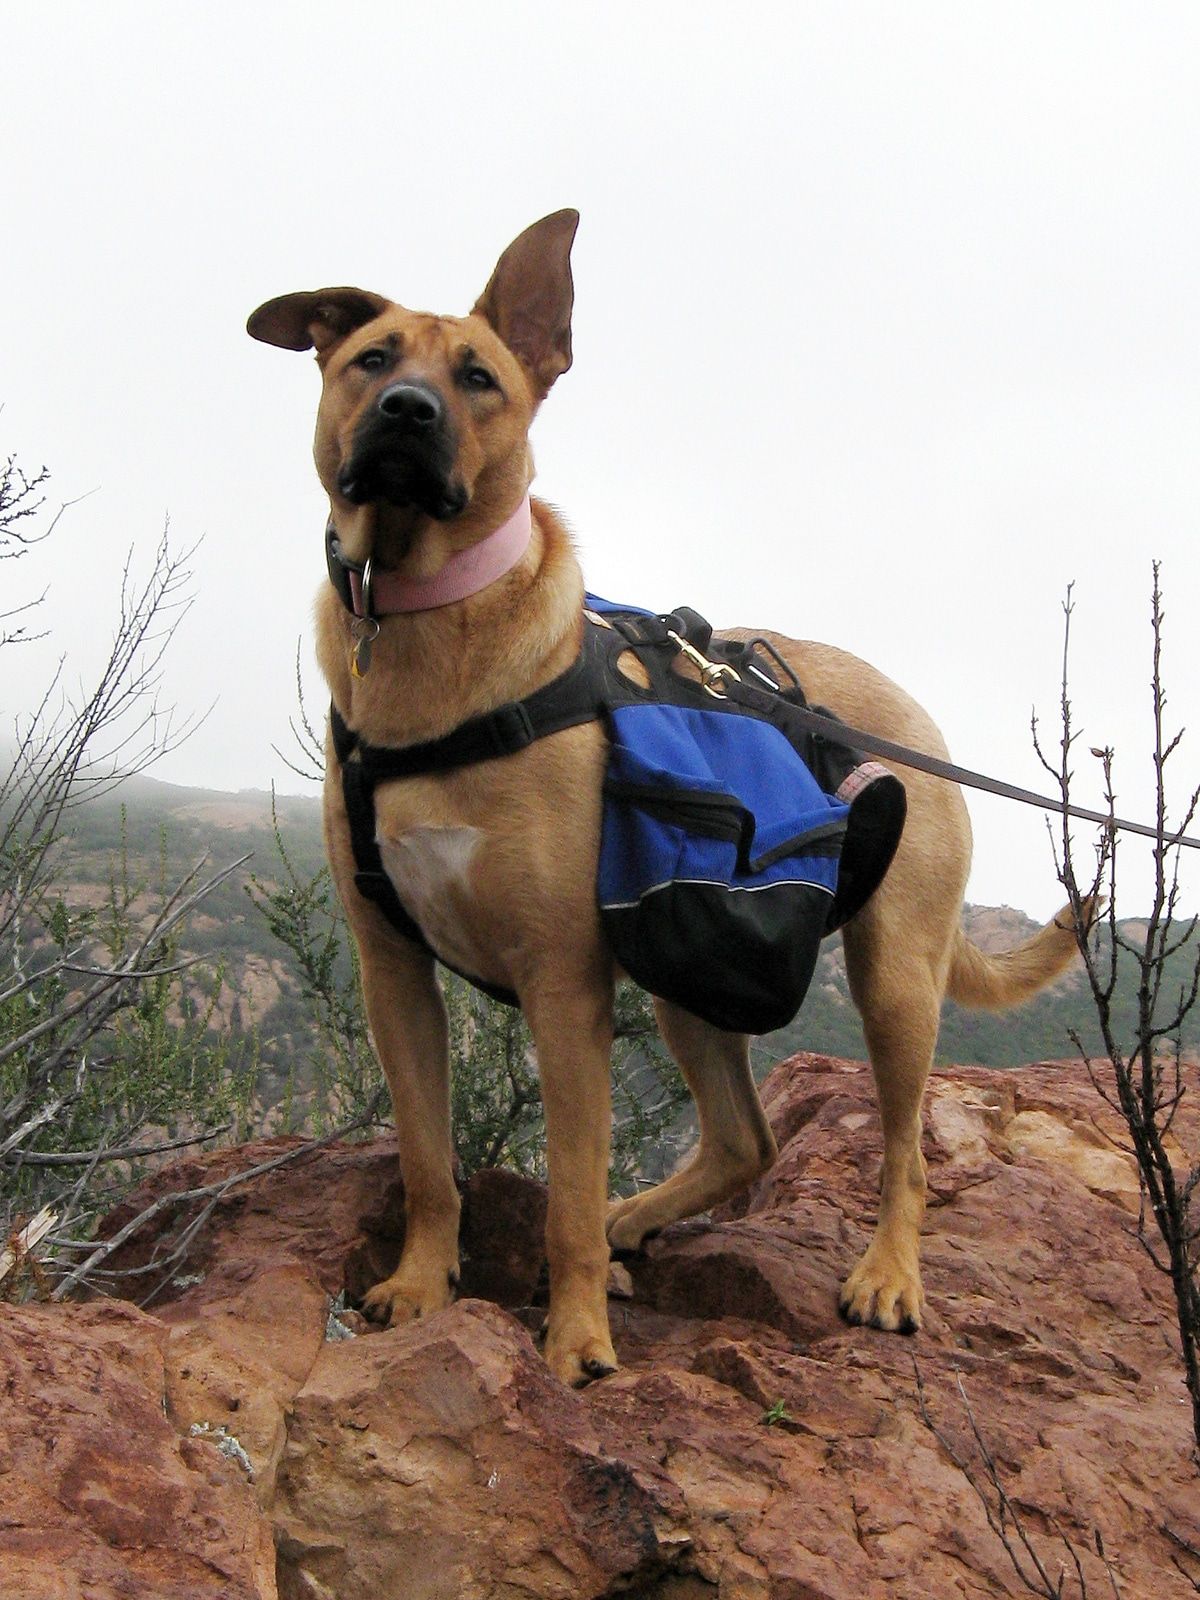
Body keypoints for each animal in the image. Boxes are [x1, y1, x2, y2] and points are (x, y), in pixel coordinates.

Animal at [249, 212, 1088, 1388]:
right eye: (371, 359)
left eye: (478, 377)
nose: (407, 412)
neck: (429, 624)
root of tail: (914, 717)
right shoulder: (394, 970)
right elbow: (424, 1155)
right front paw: (421, 1284)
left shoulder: (562, 984)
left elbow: (566, 1188)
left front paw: (576, 1340)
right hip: (693, 969)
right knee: (747, 1139)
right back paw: (642, 1217)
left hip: (892, 977)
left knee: (904, 1150)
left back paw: (886, 1276)